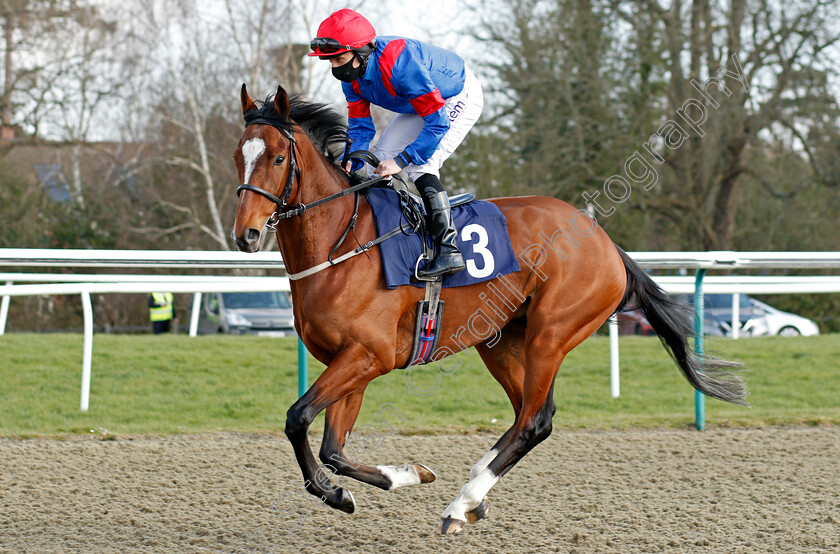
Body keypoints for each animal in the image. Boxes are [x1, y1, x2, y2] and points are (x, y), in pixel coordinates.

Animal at [231, 84, 748, 532]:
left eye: (278, 157)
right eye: (239, 156)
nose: (246, 234)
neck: (342, 243)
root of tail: (606, 242)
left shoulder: (367, 355)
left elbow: (298, 419)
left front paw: (335, 493)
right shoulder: (348, 362)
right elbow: (333, 448)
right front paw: (405, 474)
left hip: (550, 334)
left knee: (535, 421)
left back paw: (463, 501)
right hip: (501, 341)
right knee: (526, 415)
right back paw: (475, 486)